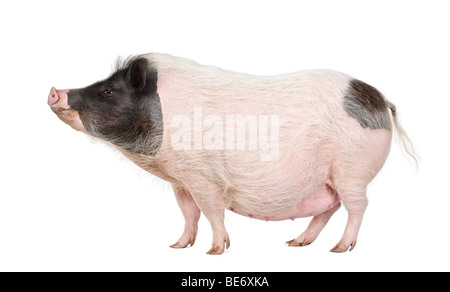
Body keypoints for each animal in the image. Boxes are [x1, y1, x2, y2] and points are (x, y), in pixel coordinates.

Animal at [47, 53, 416, 254]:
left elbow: (212, 211)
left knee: (357, 207)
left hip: (351, 170)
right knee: (329, 208)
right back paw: (296, 243)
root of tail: (381, 100)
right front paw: (177, 246)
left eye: (108, 91)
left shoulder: (203, 176)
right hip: (326, 180)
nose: (54, 91)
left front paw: (214, 252)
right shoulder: (182, 180)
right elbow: (188, 213)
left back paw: (339, 249)